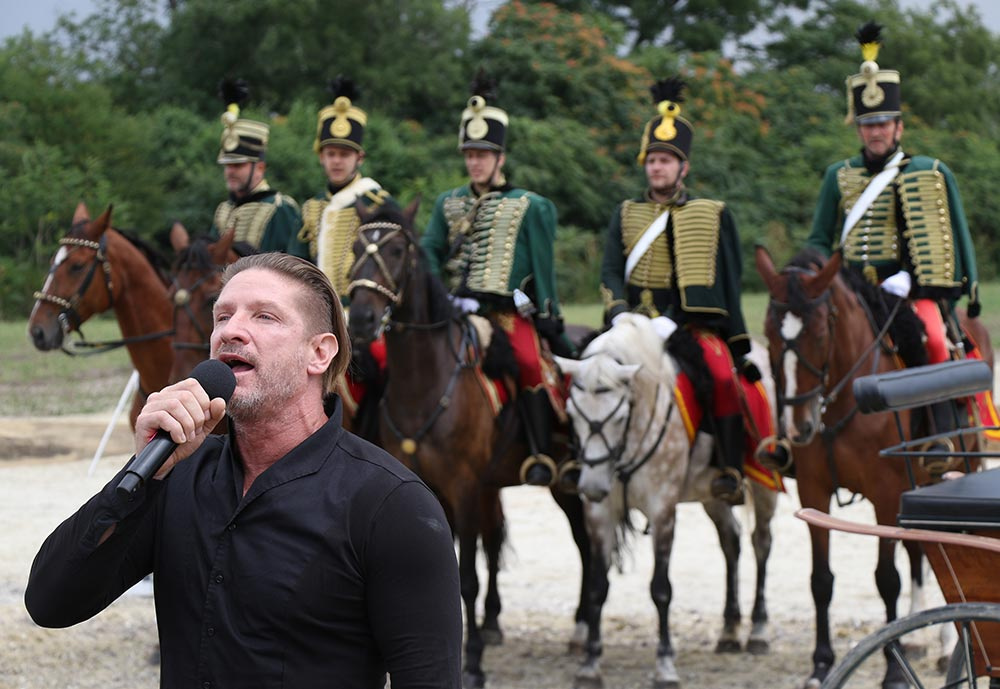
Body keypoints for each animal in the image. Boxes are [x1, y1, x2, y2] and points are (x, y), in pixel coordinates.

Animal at [346, 200, 591, 689]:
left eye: (398, 249)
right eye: (356, 248)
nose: (360, 319)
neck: (426, 383)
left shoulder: (463, 487)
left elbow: (467, 579)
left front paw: (473, 663)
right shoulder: (430, 490)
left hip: (569, 484)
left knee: (588, 548)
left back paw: (586, 635)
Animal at [555, 313, 778, 689]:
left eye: (619, 416)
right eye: (572, 413)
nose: (593, 486)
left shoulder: (662, 512)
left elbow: (661, 589)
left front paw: (665, 666)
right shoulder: (600, 513)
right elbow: (598, 587)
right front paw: (589, 664)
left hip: (765, 484)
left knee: (761, 543)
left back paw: (759, 630)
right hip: (711, 494)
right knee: (731, 542)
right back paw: (729, 630)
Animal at [754, 246, 994, 688]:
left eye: (821, 331)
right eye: (769, 334)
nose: (799, 427)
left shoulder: (885, 493)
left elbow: (887, 578)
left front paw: (894, 671)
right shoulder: (813, 491)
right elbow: (821, 580)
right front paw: (821, 664)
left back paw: (939, 645)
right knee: (922, 550)